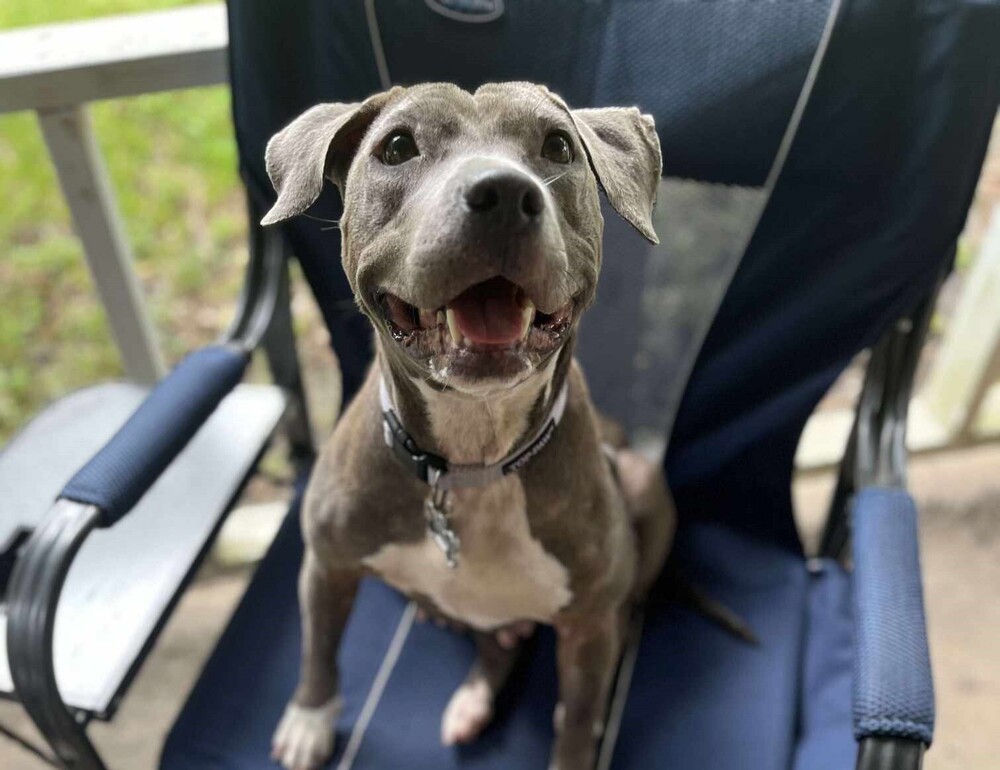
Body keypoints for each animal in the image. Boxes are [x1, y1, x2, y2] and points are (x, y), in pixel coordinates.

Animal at [262, 82, 676, 768]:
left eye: (558, 146)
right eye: (396, 147)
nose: (503, 193)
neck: (471, 460)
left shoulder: (589, 621)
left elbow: (576, 715)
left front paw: (577, 733)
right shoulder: (327, 562)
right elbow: (318, 647)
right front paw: (309, 718)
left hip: (641, 483)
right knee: (494, 643)